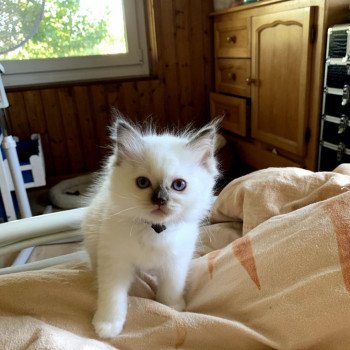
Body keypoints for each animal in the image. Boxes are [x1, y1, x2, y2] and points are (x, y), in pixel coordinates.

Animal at [82, 116, 219, 338]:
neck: (155, 229)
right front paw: (107, 326)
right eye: (143, 182)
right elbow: (112, 297)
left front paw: (172, 307)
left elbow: (171, 290)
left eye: (179, 185)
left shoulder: (175, 264)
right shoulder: (115, 262)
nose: (160, 200)